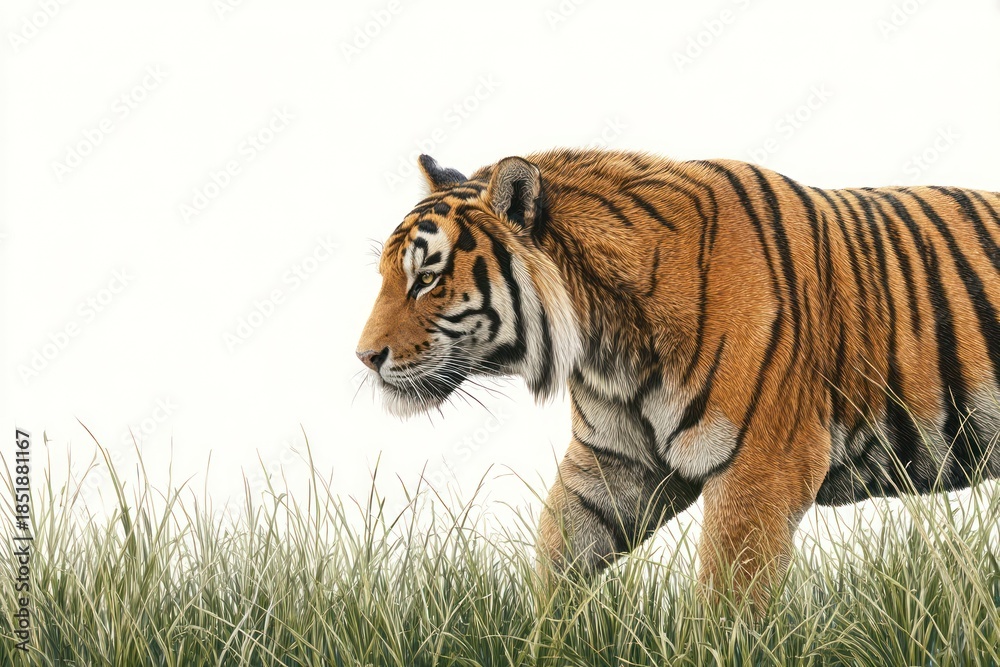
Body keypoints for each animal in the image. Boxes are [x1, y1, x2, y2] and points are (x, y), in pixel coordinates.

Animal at [356, 148, 1000, 607]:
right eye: (388, 275)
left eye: (426, 279)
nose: (364, 357)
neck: (609, 348)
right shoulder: (613, 465)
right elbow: (557, 551)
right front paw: (545, 639)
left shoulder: (764, 469)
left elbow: (729, 600)